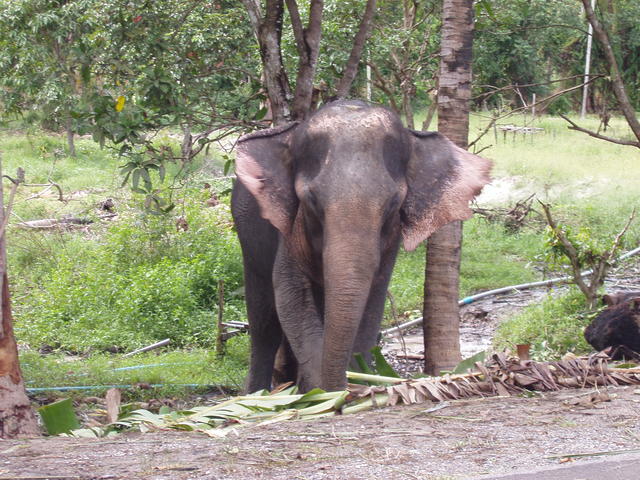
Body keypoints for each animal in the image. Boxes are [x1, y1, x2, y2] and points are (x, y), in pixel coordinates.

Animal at [232, 99, 492, 392]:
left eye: (392, 203)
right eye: (311, 200)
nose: (345, 388)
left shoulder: (391, 240)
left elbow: (372, 302)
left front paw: (355, 382)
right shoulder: (288, 228)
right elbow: (292, 296)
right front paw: (325, 393)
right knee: (264, 321)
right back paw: (260, 393)